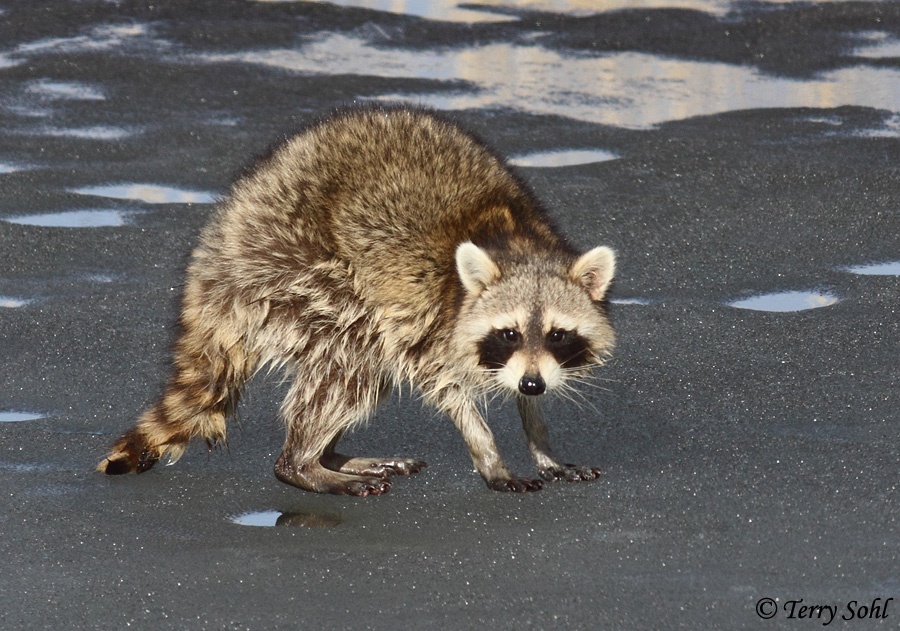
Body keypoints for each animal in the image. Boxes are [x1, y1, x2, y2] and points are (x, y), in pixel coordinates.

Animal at [98, 107, 616, 495]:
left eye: (558, 334)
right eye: (508, 333)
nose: (532, 384)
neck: (517, 241)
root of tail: (218, 247)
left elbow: (527, 394)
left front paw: (542, 442)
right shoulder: (429, 315)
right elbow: (444, 387)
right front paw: (488, 454)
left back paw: (329, 454)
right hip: (295, 271)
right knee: (354, 356)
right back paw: (302, 462)